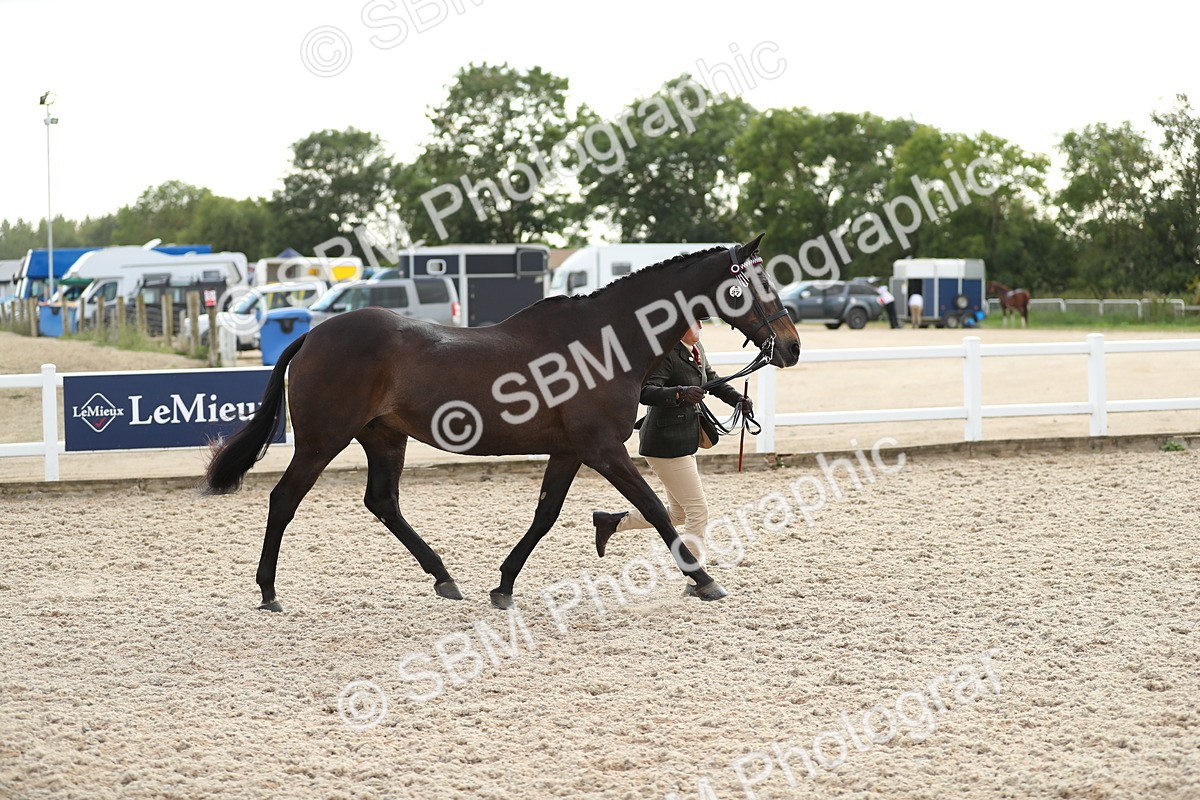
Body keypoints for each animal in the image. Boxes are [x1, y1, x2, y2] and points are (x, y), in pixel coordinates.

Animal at [203, 235, 801, 611]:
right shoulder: (603, 448)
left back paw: (444, 578)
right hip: (323, 439)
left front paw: (504, 584)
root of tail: (313, 333)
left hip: (384, 437)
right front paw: (703, 579)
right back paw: (268, 590)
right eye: (757, 286)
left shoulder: (570, 451)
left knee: (383, 503)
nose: (792, 347)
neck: (604, 342)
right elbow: (654, 508)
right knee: (284, 499)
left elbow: (545, 515)